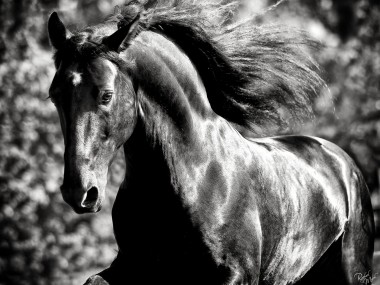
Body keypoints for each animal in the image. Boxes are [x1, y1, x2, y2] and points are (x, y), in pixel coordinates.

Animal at [46, 1, 374, 282]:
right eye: (54, 95)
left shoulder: (236, 274)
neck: (196, 175)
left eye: (106, 95)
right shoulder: (132, 267)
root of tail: (343, 162)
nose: (79, 192)